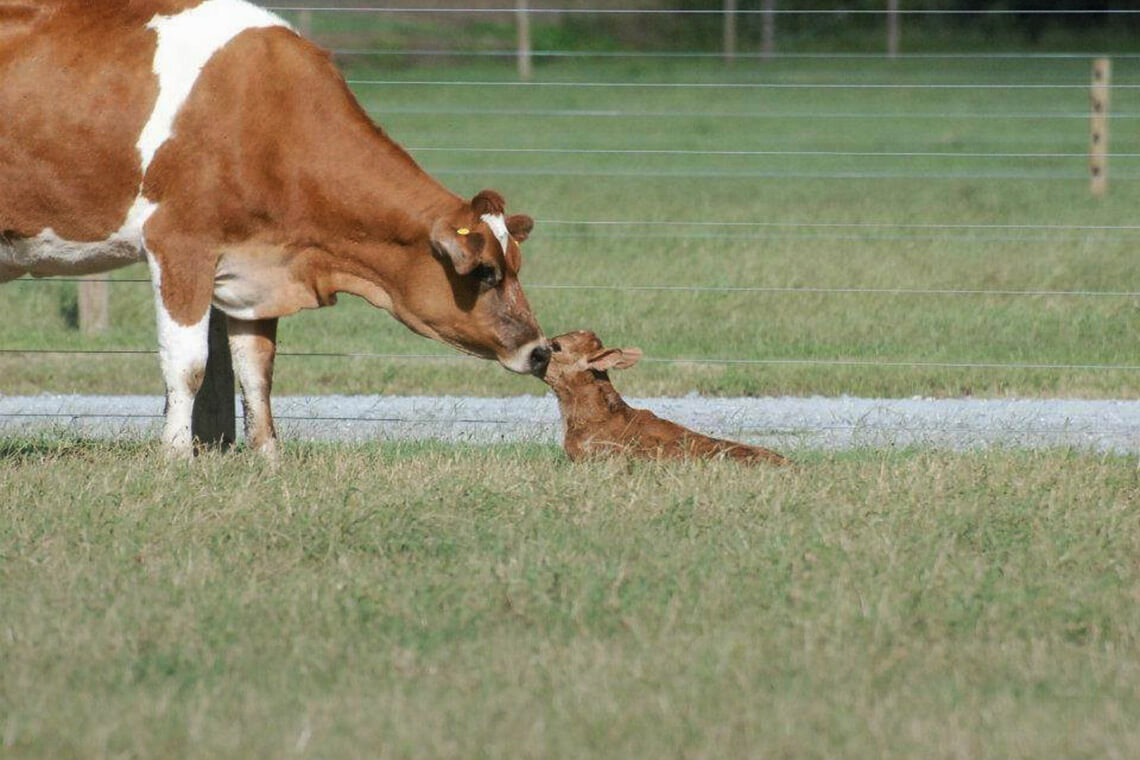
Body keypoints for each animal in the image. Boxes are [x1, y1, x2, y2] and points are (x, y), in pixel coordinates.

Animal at [0, 0, 551, 456]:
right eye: (485, 272)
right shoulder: (180, 245)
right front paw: (177, 457)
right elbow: (187, 364)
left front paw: (268, 458)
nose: (541, 351)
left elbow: (257, 368)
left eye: (516, 266)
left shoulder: (256, 268)